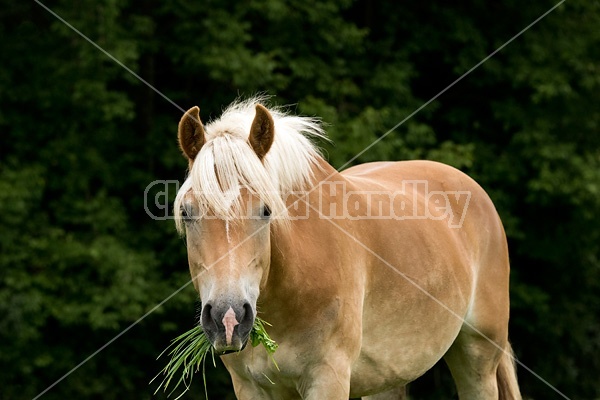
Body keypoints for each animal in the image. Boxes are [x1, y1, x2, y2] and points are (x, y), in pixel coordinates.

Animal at [172, 97, 520, 400]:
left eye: (266, 210)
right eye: (187, 213)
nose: (228, 319)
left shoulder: (328, 379)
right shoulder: (250, 387)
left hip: (478, 358)